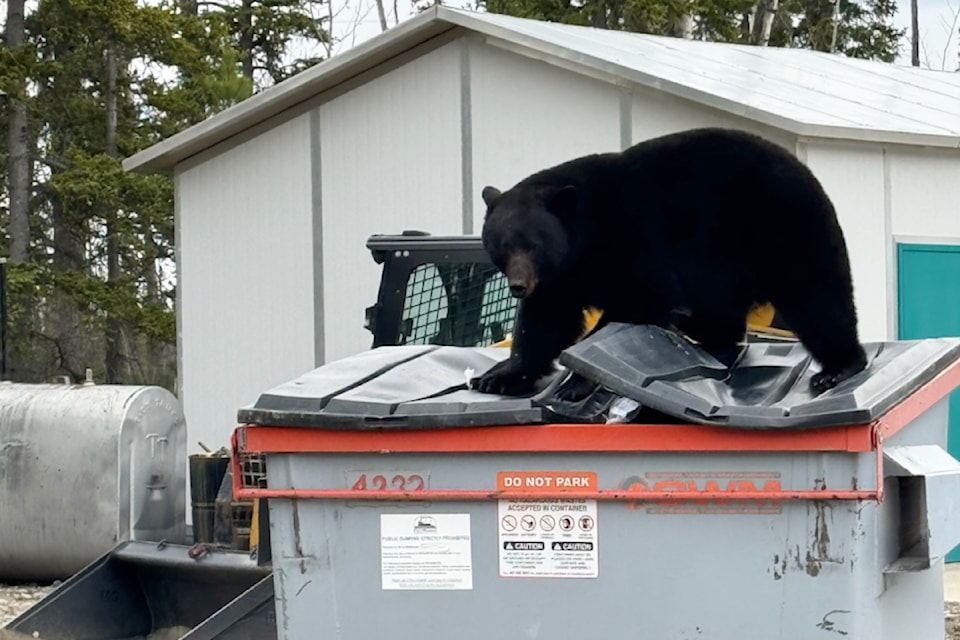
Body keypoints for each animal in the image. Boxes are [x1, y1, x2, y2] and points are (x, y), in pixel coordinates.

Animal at [472, 127, 872, 398]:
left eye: (534, 245)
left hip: (782, 232)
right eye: (502, 246)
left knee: (817, 298)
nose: (519, 285)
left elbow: (637, 303)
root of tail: (809, 173)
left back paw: (839, 367)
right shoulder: (561, 277)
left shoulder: (634, 241)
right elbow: (545, 320)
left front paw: (580, 381)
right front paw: (498, 375)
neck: (587, 233)